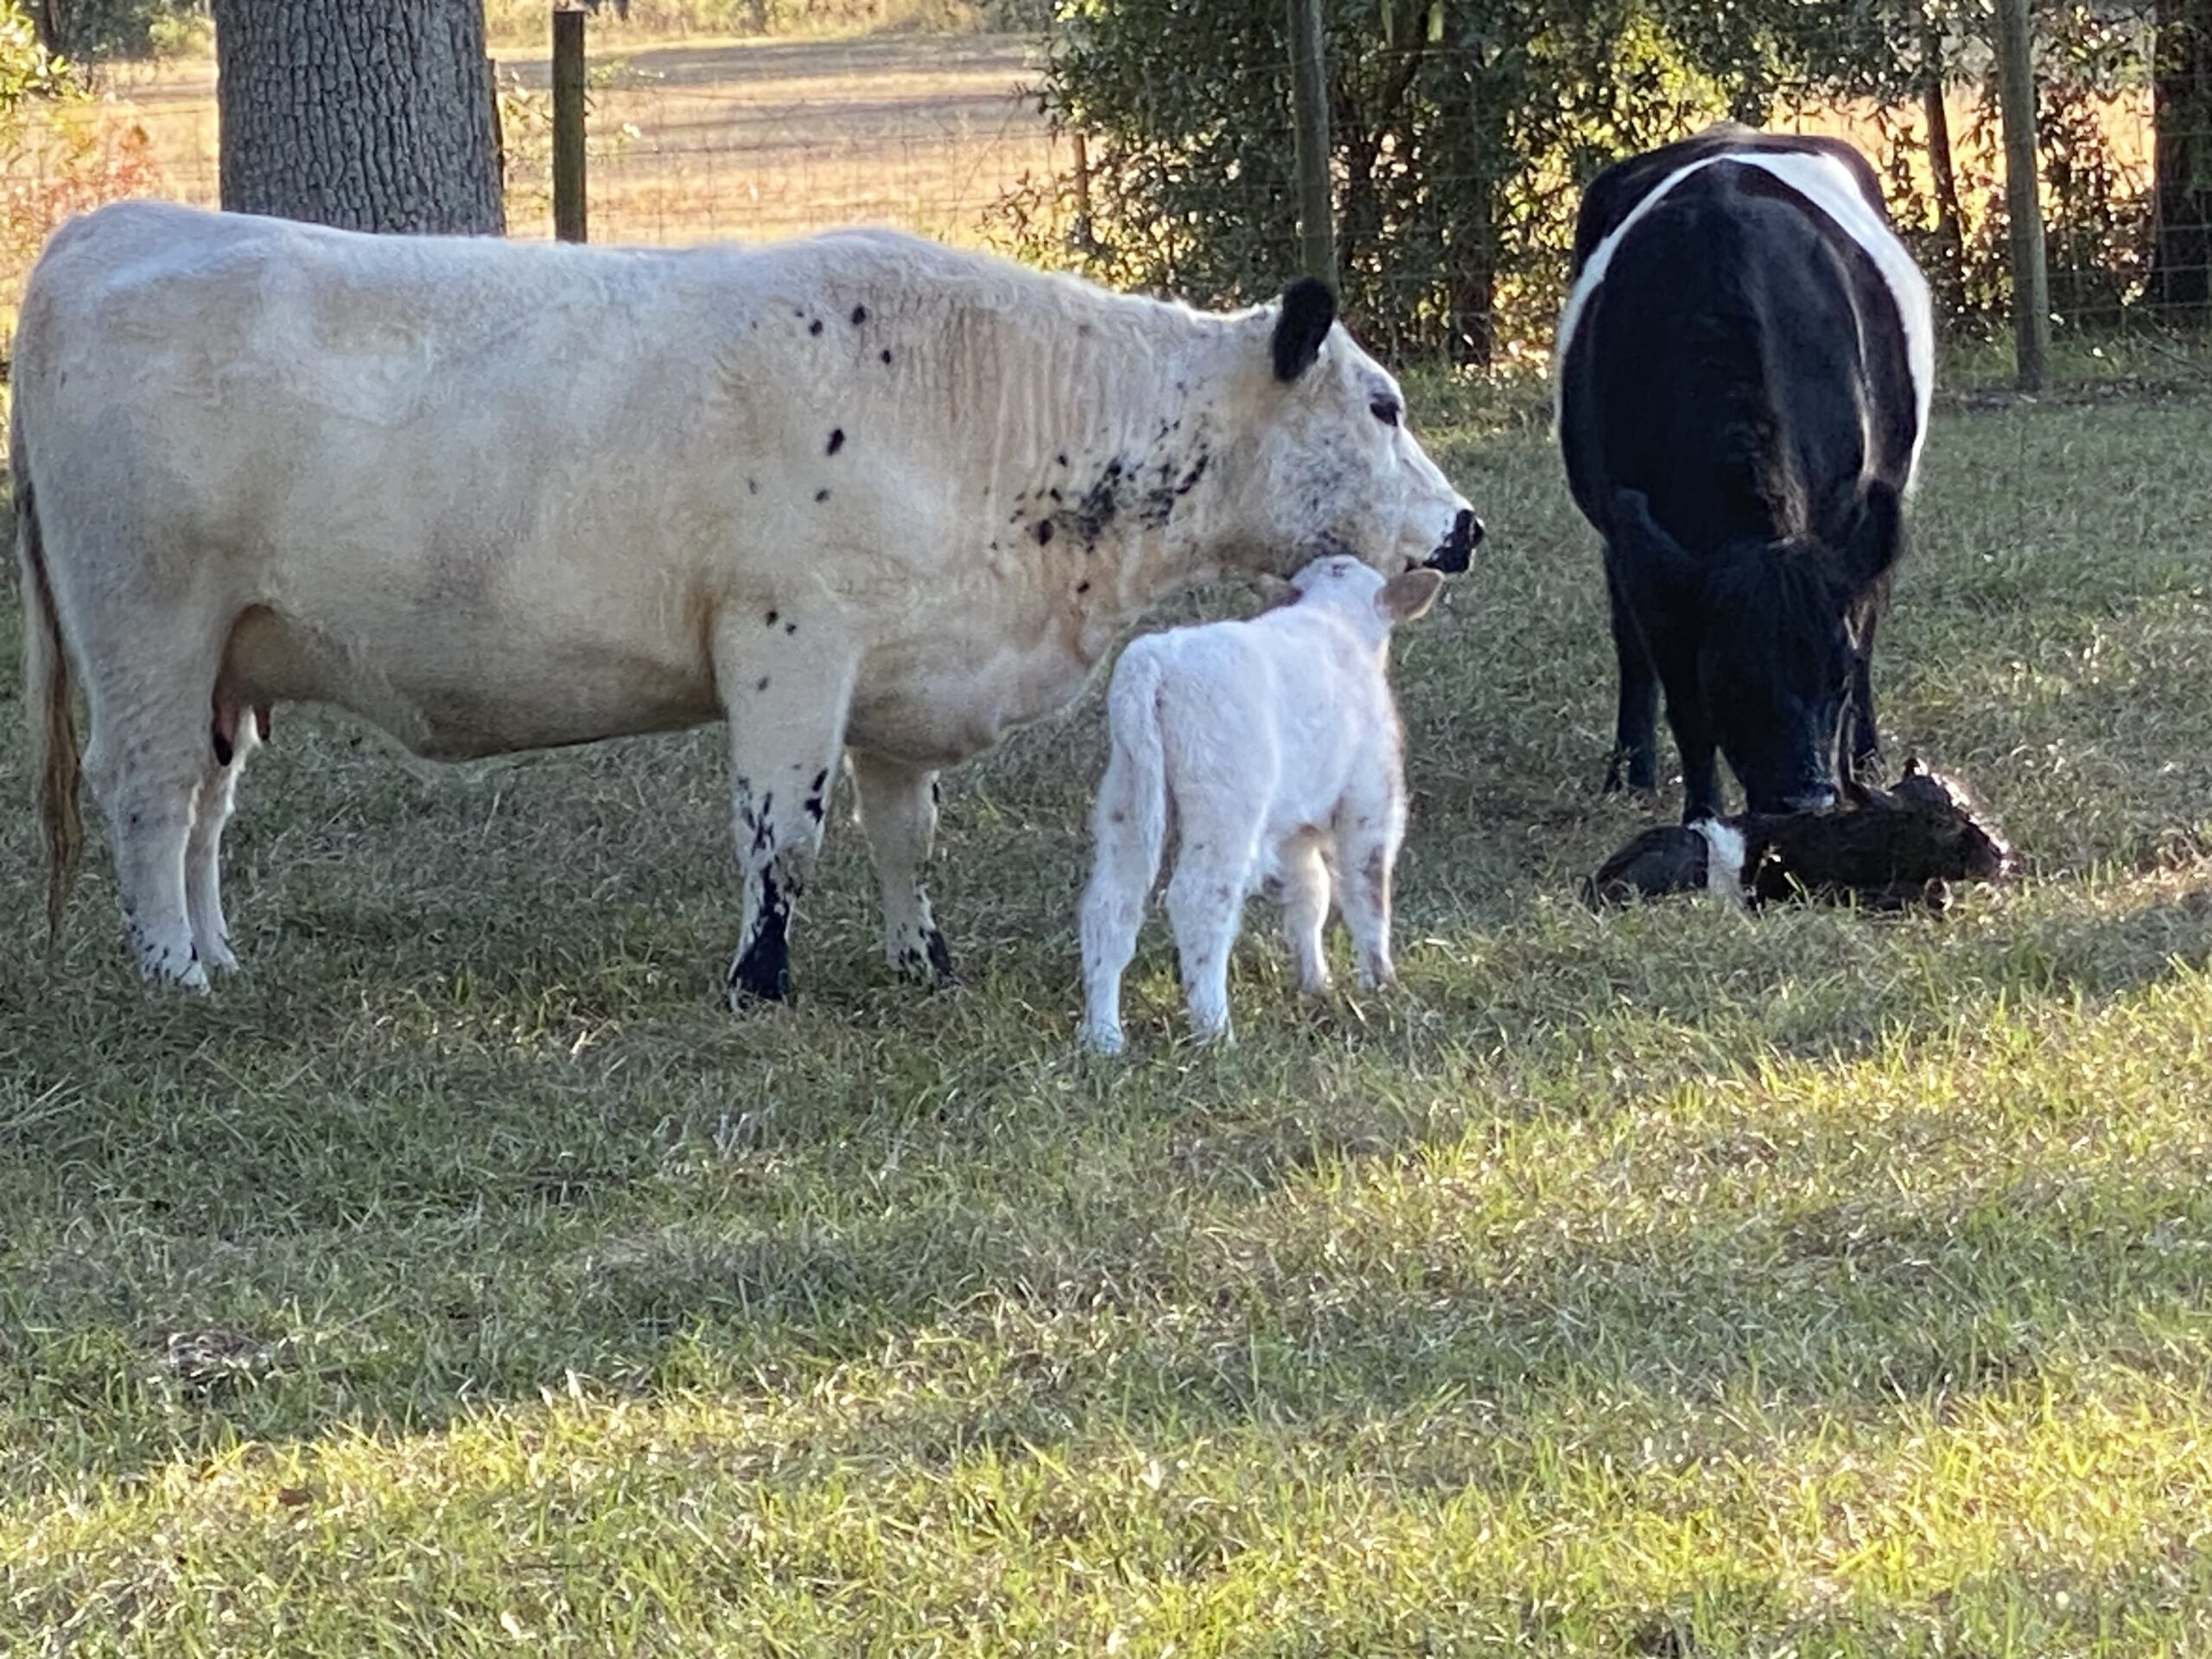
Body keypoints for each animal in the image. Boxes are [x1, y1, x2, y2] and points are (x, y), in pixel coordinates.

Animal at [13, 202, 1480, 1002]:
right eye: (1383, 403)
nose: (1466, 528)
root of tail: (107, 229)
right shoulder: (789, 645)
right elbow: (784, 834)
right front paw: (758, 981)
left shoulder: (900, 673)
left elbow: (905, 840)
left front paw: (923, 963)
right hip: (147, 632)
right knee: (149, 798)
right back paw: (169, 973)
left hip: (225, 659)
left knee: (207, 809)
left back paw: (217, 958)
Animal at [1077, 554, 1443, 1055]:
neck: (1334, 618)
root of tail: (1152, 659)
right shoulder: (1369, 796)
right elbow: (1366, 891)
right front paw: (1380, 984)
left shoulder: (1295, 826)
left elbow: (1310, 894)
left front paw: (1316, 982)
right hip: (1226, 801)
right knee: (1198, 901)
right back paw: (1215, 1032)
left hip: (1127, 794)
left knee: (1111, 906)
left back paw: (1105, 1036)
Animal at [1554, 125, 1934, 820]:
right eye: (1729, 675)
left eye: (1834, 673)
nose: (1806, 800)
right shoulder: (1645, 546)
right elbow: (1680, 700)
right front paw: (1700, 817)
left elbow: (1861, 635)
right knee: (1629, 646)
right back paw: (1630, 770)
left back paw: (1868, 756)